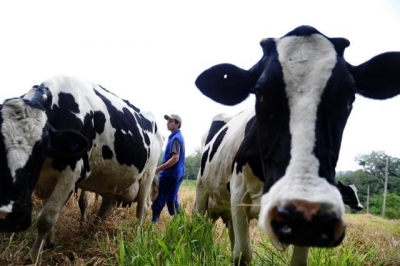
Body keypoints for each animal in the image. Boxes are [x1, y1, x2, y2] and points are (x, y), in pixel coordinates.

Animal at [0, 76, 164, 262]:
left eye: (41, 148)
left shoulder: (72, 170)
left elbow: (46, 217)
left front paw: (33, 258)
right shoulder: (44, 178)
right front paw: (48, 244)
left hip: (148, 174)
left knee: (142, 209)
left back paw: (136, 240)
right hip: (112, 182)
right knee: (107, 206)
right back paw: (91, 232)